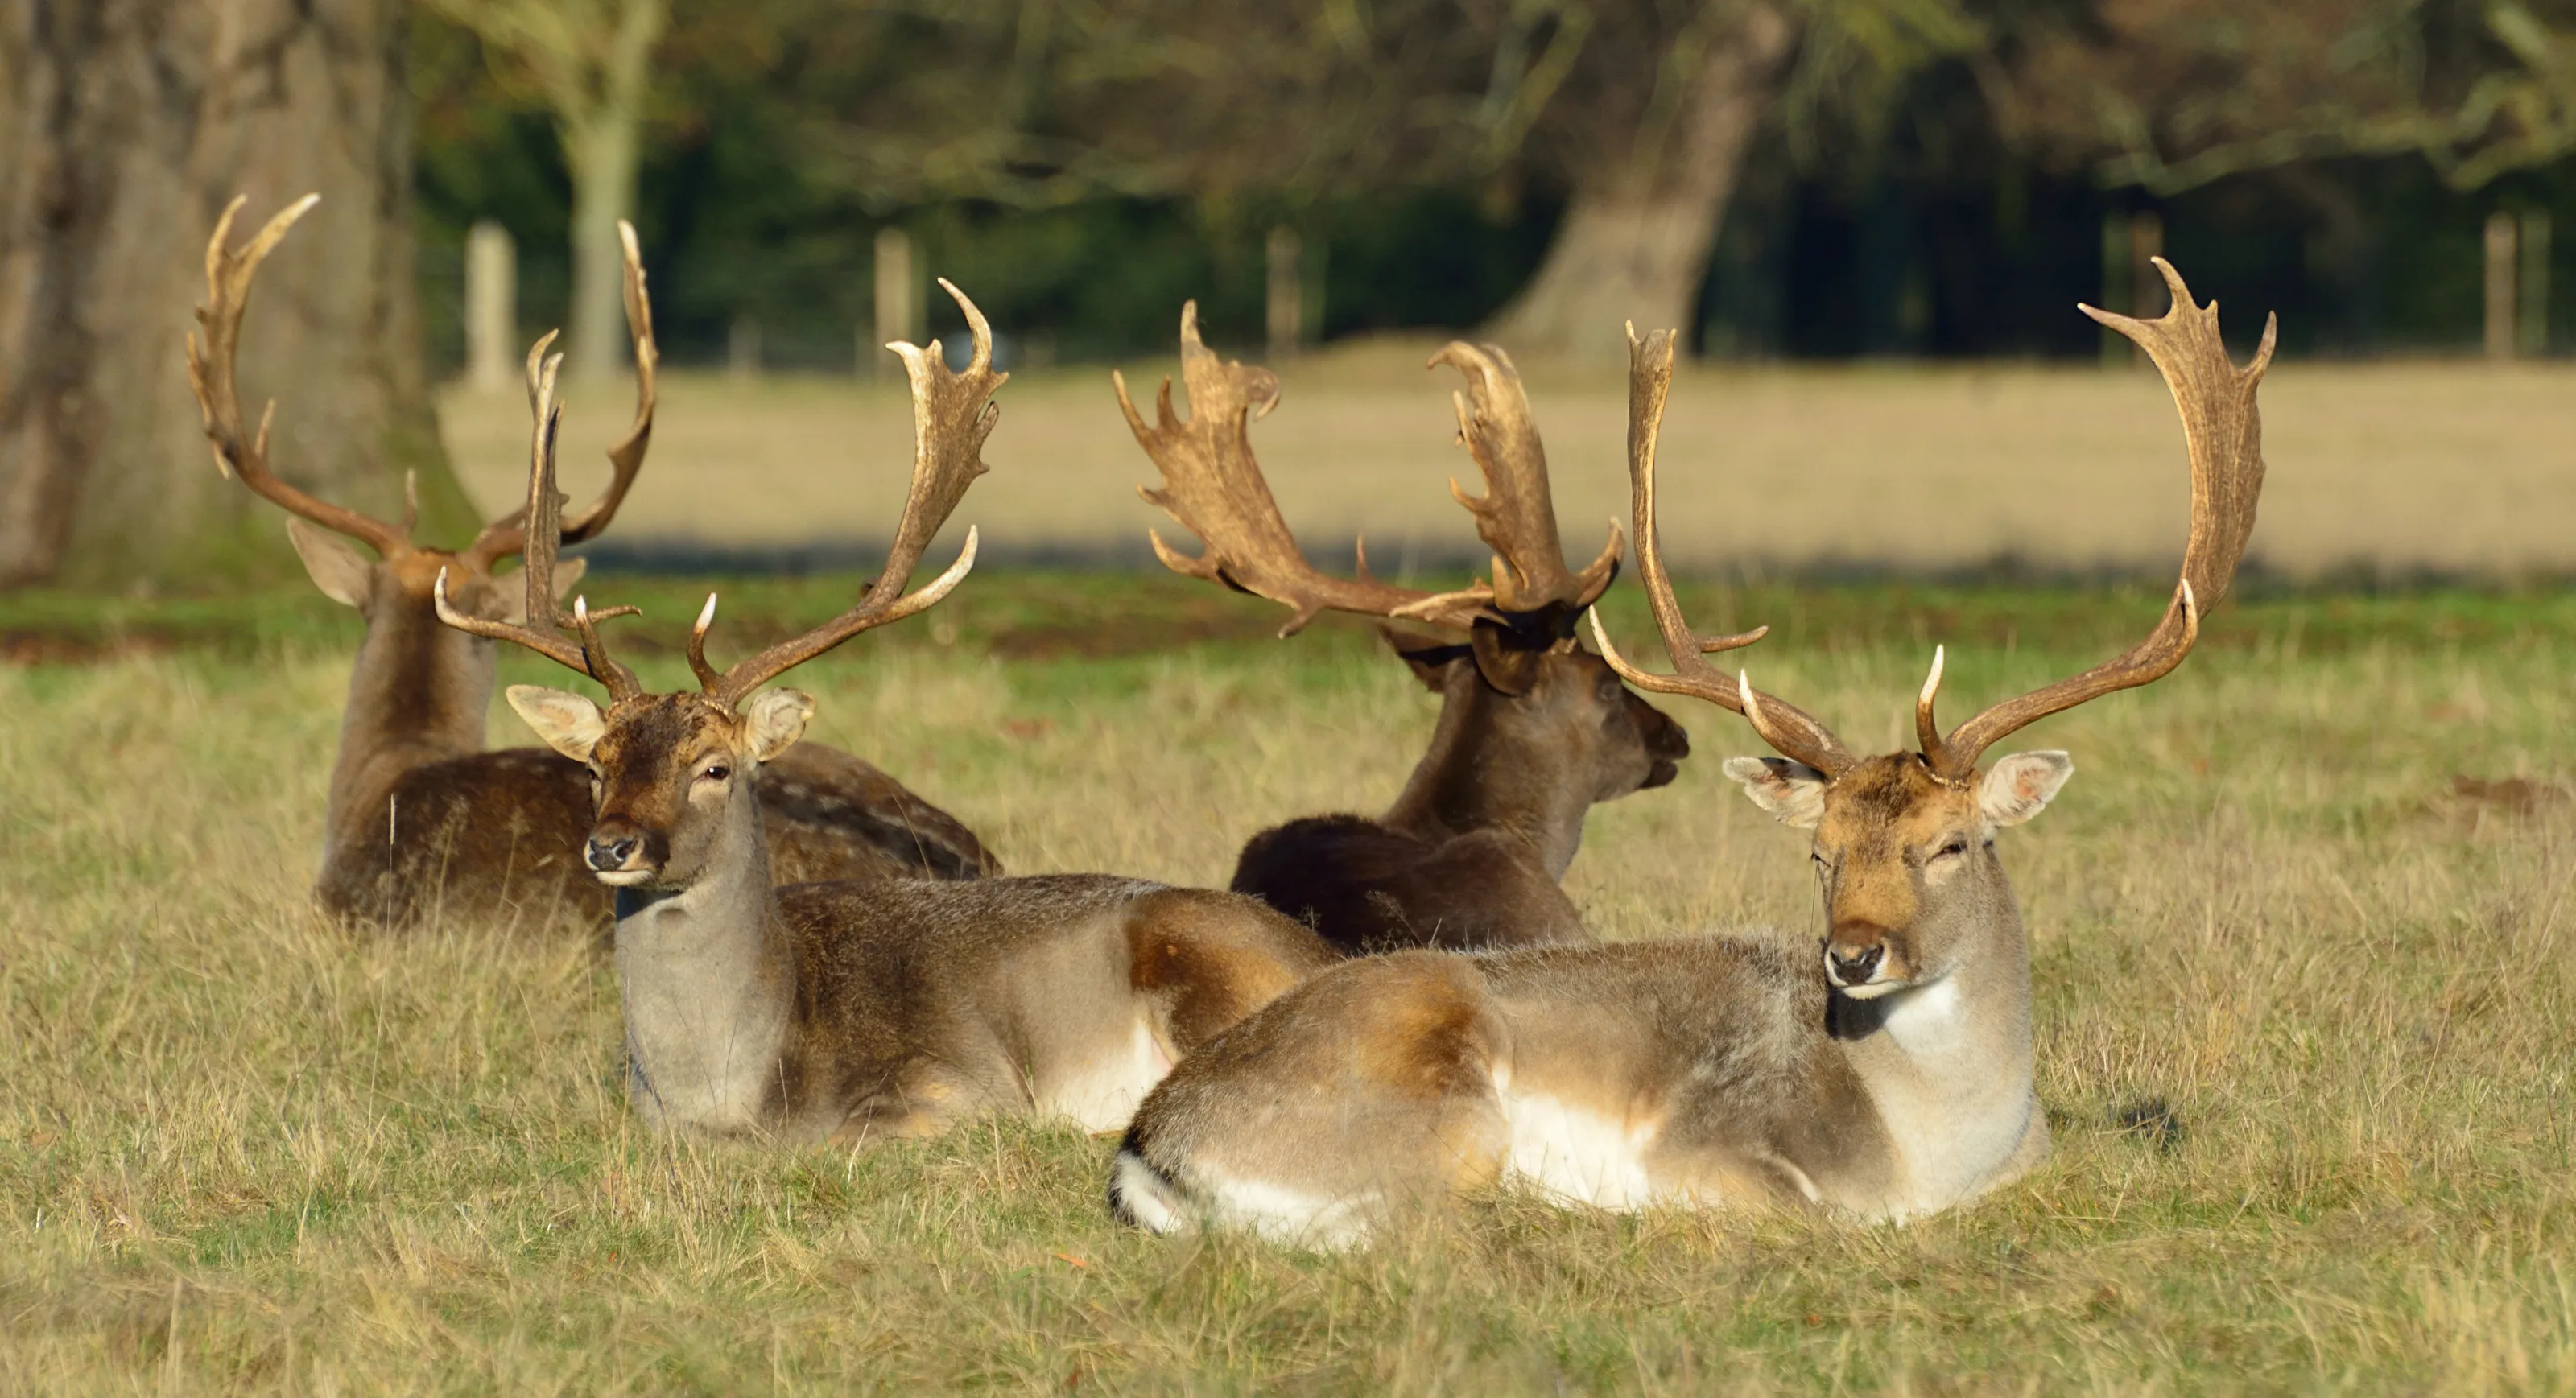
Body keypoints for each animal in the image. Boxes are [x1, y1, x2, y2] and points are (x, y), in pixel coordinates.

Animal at [440, 286, 1338, 1142]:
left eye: (715, 767)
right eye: (596, 765)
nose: (612, 845)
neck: (727, 1097)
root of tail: (1325, 956)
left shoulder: (952, 1085)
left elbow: (853, 1133)